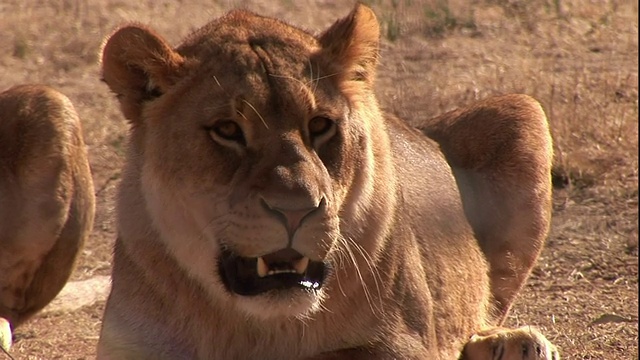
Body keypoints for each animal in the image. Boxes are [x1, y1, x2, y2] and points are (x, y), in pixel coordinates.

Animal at [97, 3, 556, 360]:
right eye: (227, 130)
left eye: (319, 125)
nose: (295, 209)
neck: (258, 327)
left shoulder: (401, 343)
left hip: (522, 111)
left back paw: (512, 343)